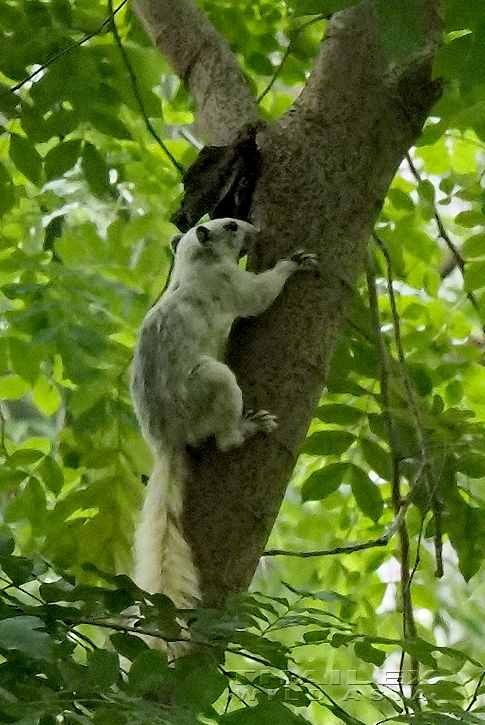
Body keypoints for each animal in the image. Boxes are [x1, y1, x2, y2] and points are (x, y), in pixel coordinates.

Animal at [130, 218, 318, 608]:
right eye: (230, 225)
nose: (255, 230)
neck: (194, 261)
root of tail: (167, 437)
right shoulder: (230, 283)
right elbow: (259, 296)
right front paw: (293, 264)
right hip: (215, 383)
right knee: (226, 440)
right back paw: (248, 428)